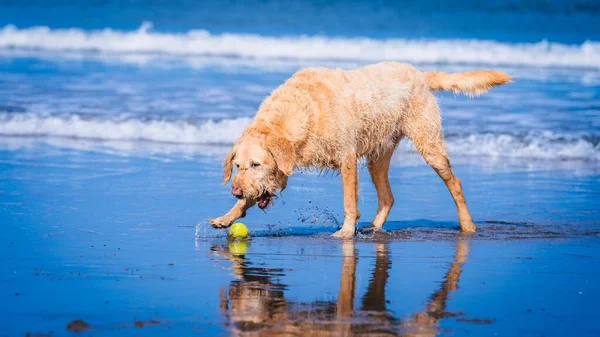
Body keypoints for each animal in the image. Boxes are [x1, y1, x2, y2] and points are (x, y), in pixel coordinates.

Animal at [211, 62, 510, 236]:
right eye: (237, 166)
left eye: (256, 164)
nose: (234, 190)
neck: (302, 110)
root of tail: (422, 74)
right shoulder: (282, 169)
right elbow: (253, 196)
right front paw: (227, 217)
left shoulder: (347, 158)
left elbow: (349, 201)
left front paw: (345, 232)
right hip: (378, 156)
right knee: (388, 197)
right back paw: (375, 229)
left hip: (429, 144)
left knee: (454, 183)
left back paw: (468, 225)